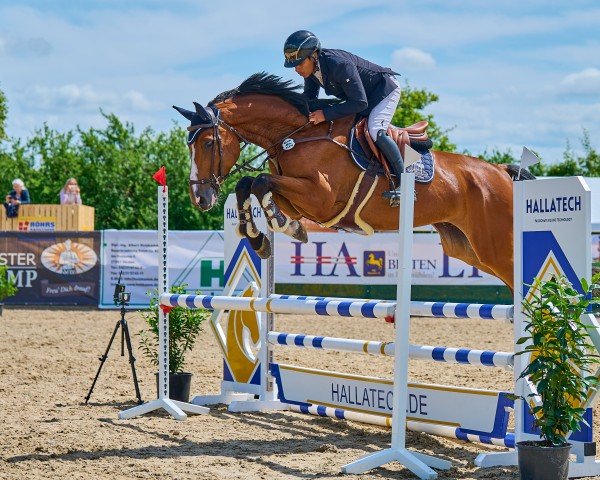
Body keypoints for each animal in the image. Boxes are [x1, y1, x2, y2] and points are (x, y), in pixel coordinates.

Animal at [173, 71, 536, 288]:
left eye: (208, 143)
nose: (200, 199)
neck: (297, 135)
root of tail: (501, 173)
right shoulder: (300, 200)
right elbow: (247, 185)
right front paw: (263, 235)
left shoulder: (319, 198)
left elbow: (260, 182)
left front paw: (277, 226)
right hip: (468, 249)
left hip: (498, 248)